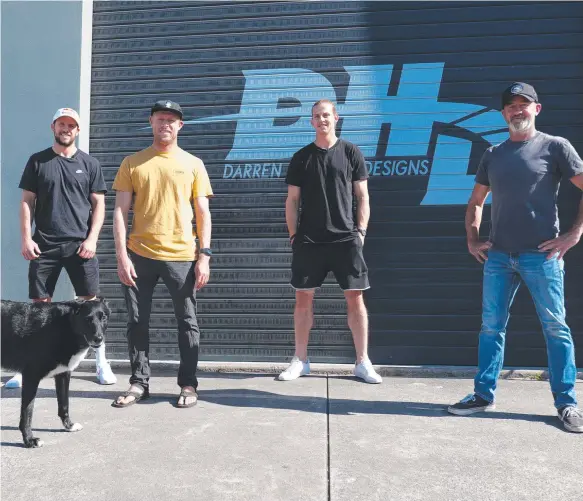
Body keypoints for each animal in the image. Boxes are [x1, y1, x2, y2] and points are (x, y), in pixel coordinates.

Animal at [0, 298, 110, 448]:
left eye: (103, 317)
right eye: (87, 319)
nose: (98, 338)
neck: (64, 327)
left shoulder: (63, 374)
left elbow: (64, 404)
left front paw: (69, 425)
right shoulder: (30, 377)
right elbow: (27, 412)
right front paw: (29, 440)